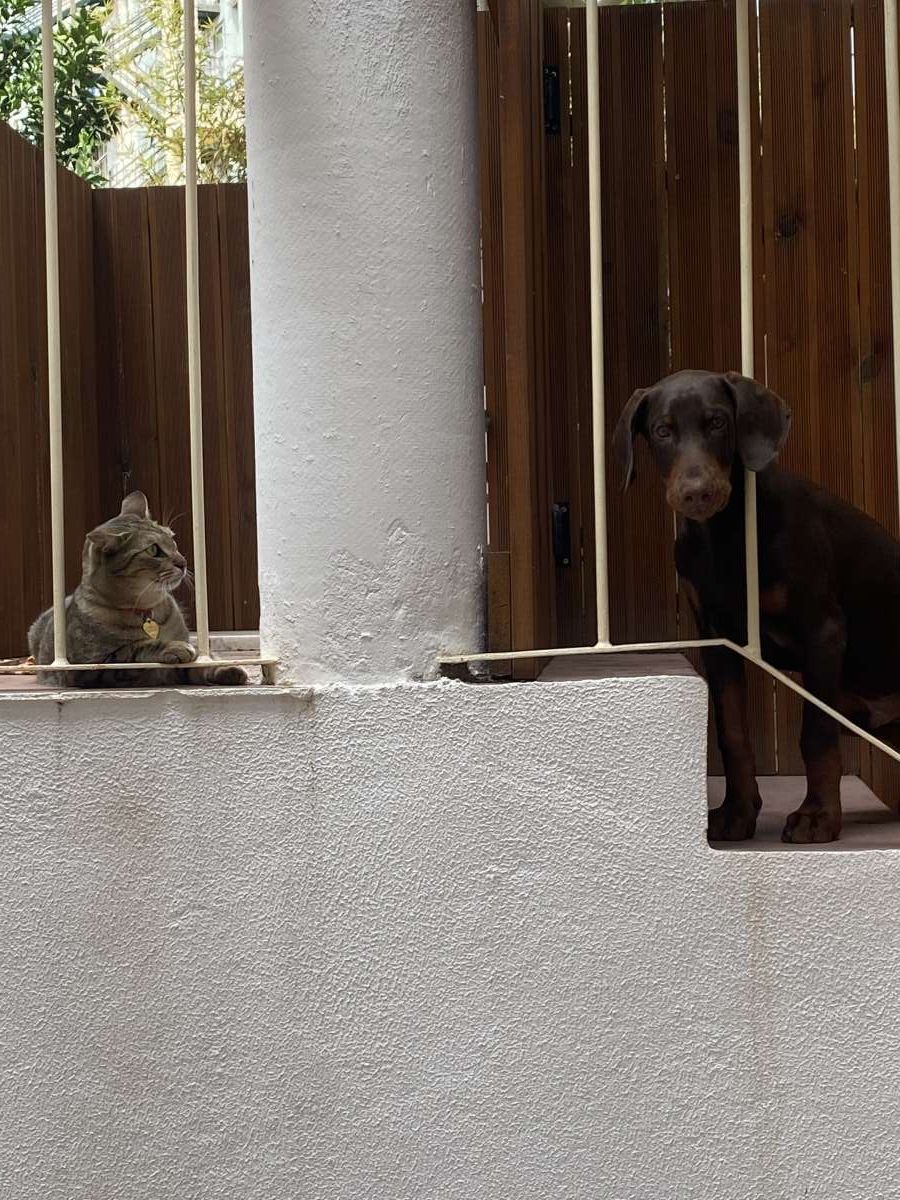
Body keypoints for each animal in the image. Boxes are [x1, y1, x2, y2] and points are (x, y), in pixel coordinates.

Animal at [28, 492, 247, 691]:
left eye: (172, 539)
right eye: (153, 550)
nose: (183, 562)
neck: (146, 610)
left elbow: (204, 663)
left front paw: (227, 670)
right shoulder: (90, 667)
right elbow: (135, 651)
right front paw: (173, 646)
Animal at [619, 367, 900, 844]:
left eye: (717, 422)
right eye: (662, 431)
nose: (697, 493)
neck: (725, 534)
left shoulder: (823, 631)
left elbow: (816, 735)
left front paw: (818, 816)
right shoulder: (718, 639)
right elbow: (731, 731)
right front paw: (736, 813)